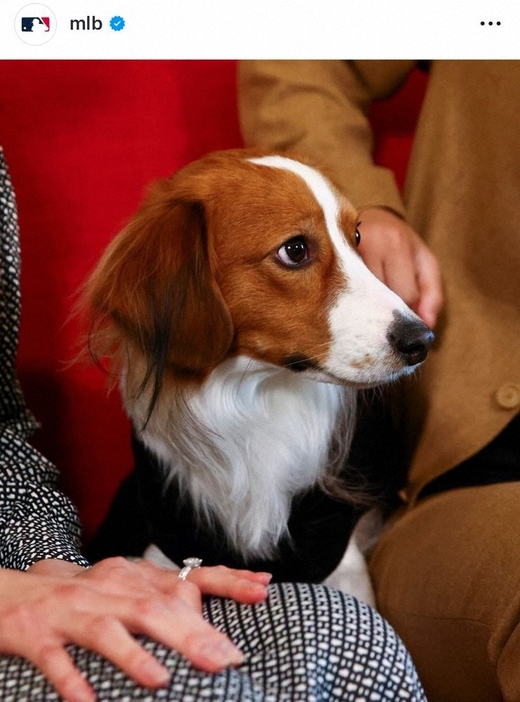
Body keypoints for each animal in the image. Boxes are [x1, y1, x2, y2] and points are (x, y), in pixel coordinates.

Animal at [86, 150, 434, 584]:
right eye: (295, 250)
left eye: (356, 237)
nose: (422, 340)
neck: (254, 399)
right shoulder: (170, 542)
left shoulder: (338, 554)